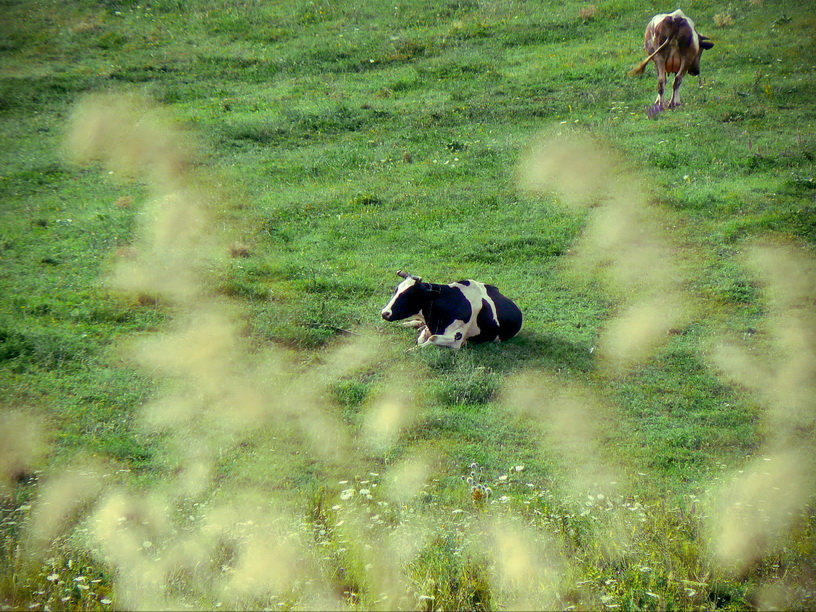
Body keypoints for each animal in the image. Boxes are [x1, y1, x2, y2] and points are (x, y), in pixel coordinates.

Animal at [380, 268, 524, 350]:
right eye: (396, 290)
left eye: (409, 295)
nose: (385, 313)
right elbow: (423, 337)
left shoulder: (456, 338)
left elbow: (431, 339)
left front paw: (413, 350)